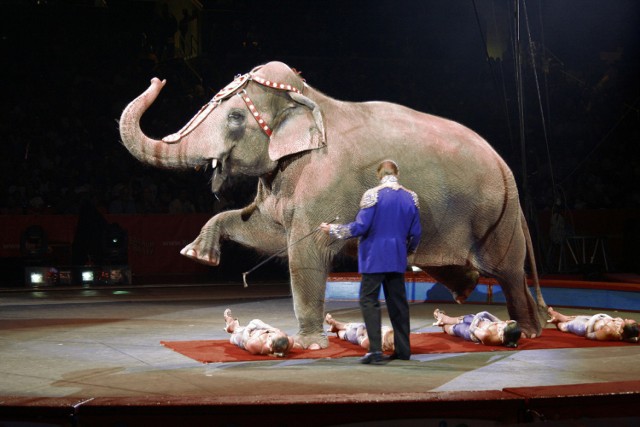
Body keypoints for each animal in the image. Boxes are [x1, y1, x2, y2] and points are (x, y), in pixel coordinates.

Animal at [119, 60, 544, 350]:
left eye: (237, 117)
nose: (157, 80)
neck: (309, 98)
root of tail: (507, 167)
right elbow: (265, 234)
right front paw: (197, 255)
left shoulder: (322, 181)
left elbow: (304, 254)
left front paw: (308, 344)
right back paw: (469, 291)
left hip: (498, 217)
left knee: (509, 273)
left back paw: (527, 331)